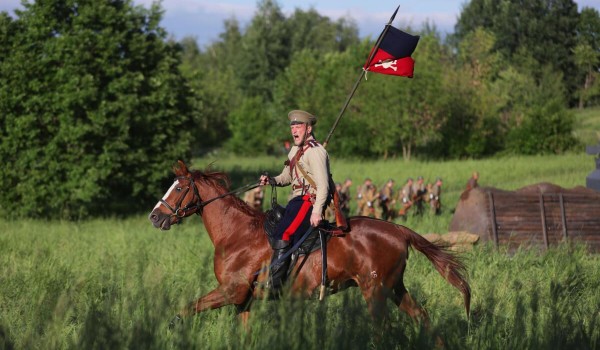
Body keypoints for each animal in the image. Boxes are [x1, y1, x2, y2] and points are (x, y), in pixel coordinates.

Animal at [149, 160, 468, 330]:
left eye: (179, 187)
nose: (154, 216)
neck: (236, 233)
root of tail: (397, 229)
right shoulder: (243, 301)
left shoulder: (230, 291)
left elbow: (187, 308)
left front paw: (171, 327)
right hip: (394, 288)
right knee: (422, 317)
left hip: (375, 291)